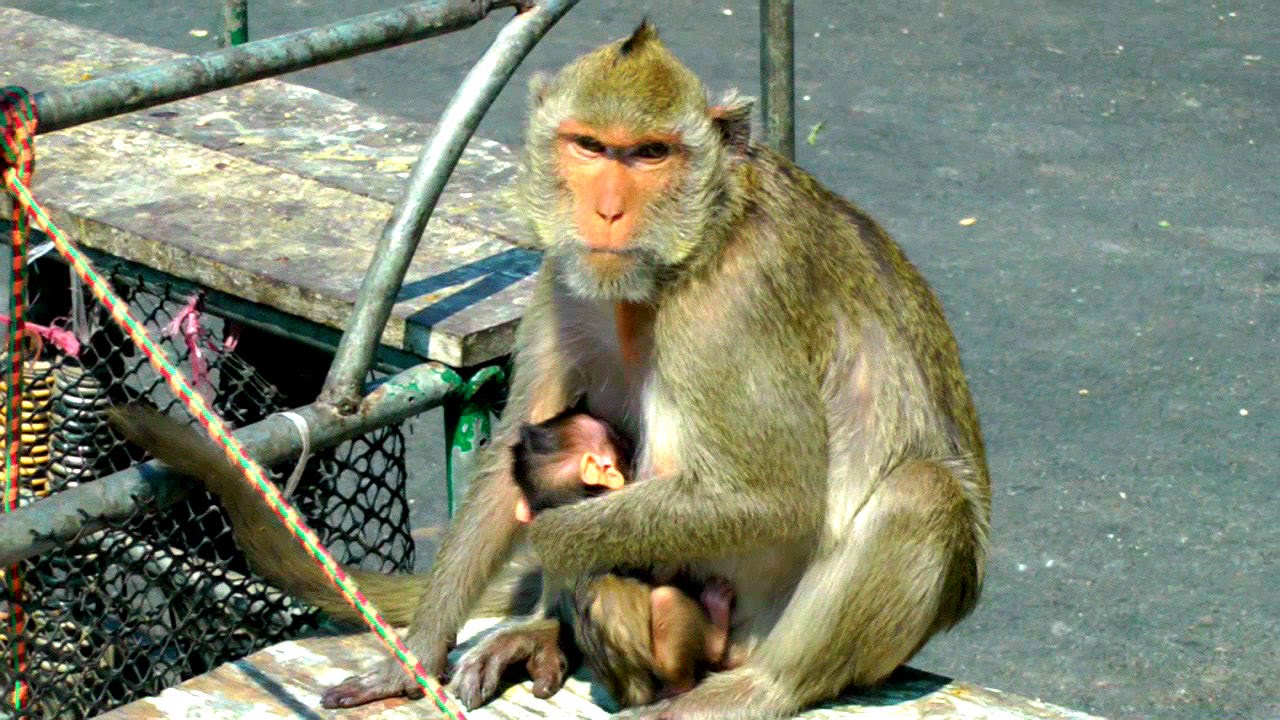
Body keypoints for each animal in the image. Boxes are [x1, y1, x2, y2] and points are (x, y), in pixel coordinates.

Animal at [111, 21, 991, 720]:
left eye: (650, 154)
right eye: (590, 147)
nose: (606, 209)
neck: (677, 260)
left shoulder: (736, 305)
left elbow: (773, 496)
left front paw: (557, 534)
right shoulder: (563, 278)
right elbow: (515, 451)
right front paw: (417, 653)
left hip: (760, 630)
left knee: (921, 494)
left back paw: (750, 690)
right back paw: (545, 631)